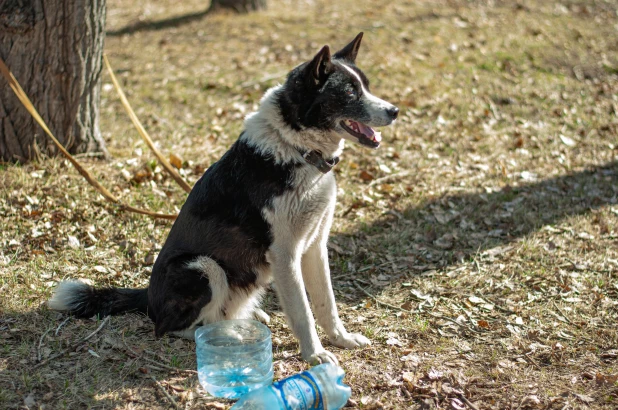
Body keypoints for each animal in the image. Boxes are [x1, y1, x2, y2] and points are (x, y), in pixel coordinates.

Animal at [51, 32, 400, 366]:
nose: (394, 111)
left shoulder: (315, 246)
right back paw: (227, 333)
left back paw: (248, 315)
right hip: (205, 268)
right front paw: (314, 354)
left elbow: (327, 304)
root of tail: (147, 297)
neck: (297, 150)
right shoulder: (284, 254)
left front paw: (341, 339)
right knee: (172, 328)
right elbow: (302, 311)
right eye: (350, 93)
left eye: (366, 86)